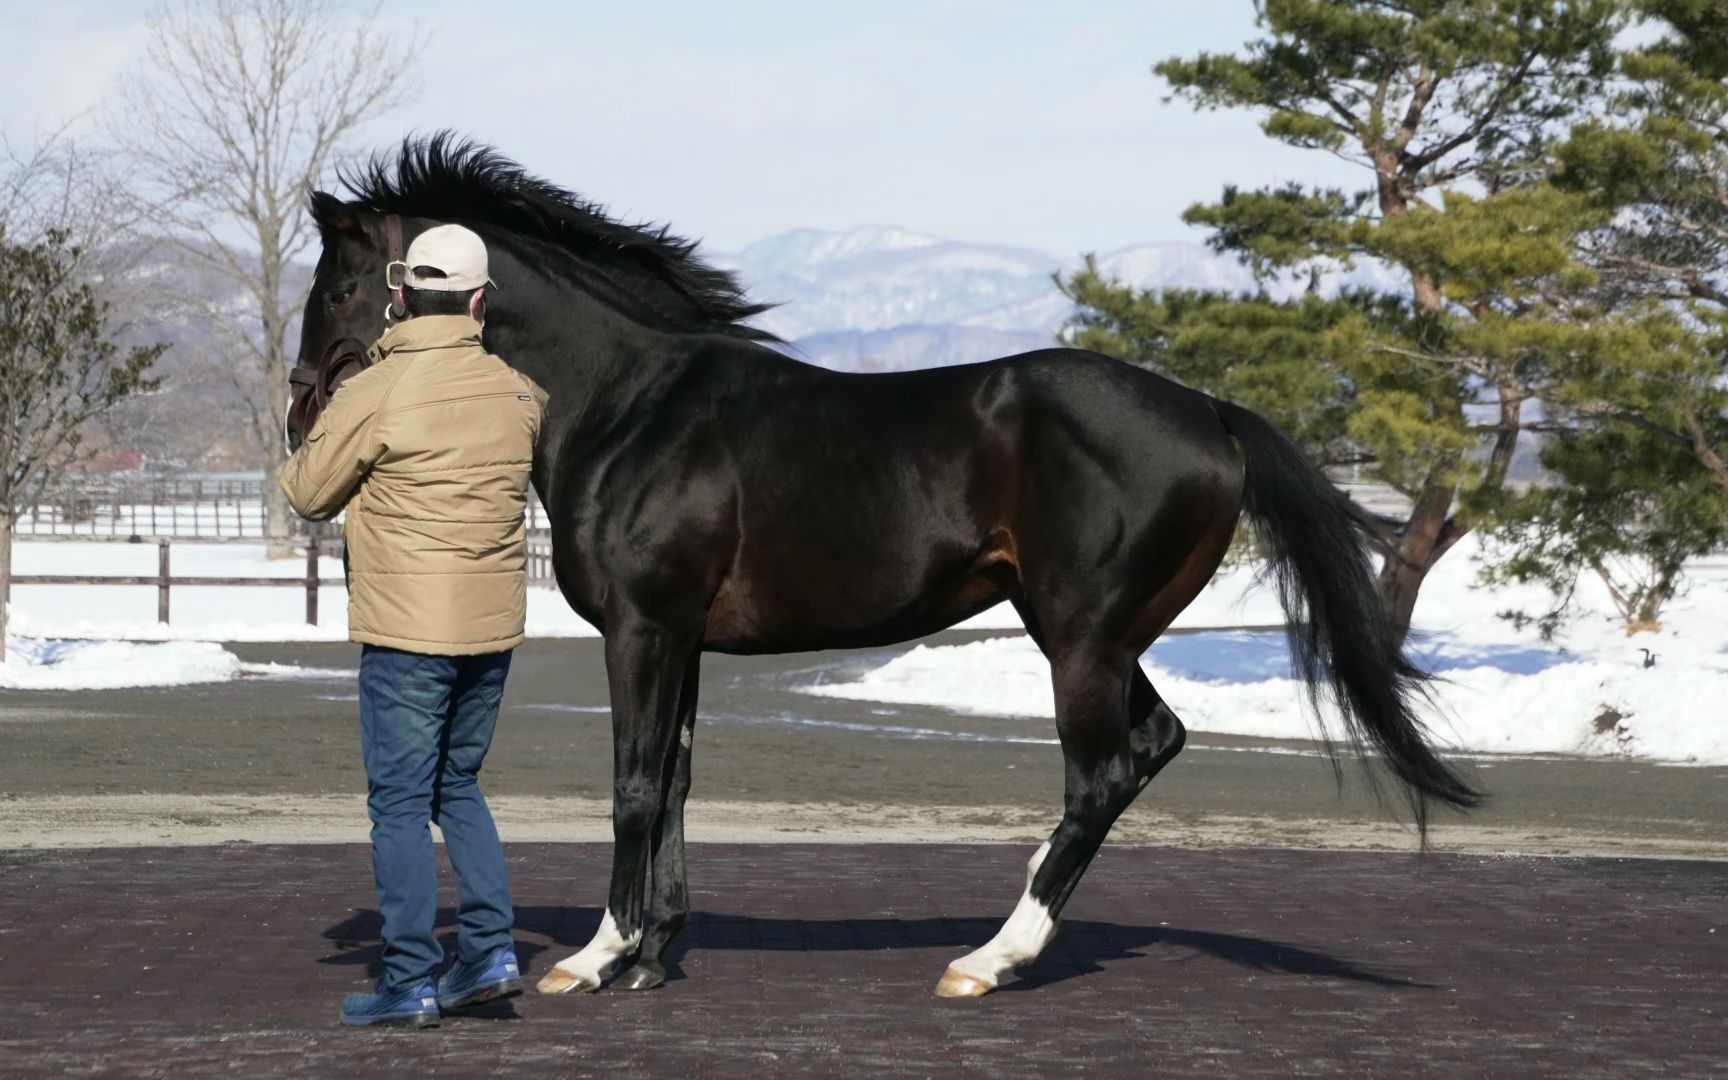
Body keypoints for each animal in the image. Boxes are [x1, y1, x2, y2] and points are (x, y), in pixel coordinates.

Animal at [290, 139, 1479, 995]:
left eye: (343, 282)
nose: (301, 413)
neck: (636, 407)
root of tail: (1211, 413)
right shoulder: (686, 642)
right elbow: (673, 783)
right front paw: (655, 955)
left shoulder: (642, 628)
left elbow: (631, 787)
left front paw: (594, 958)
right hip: (1089, 633)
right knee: (1152, 746)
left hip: (1081, 637)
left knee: (1100, 773)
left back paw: (988, 961)